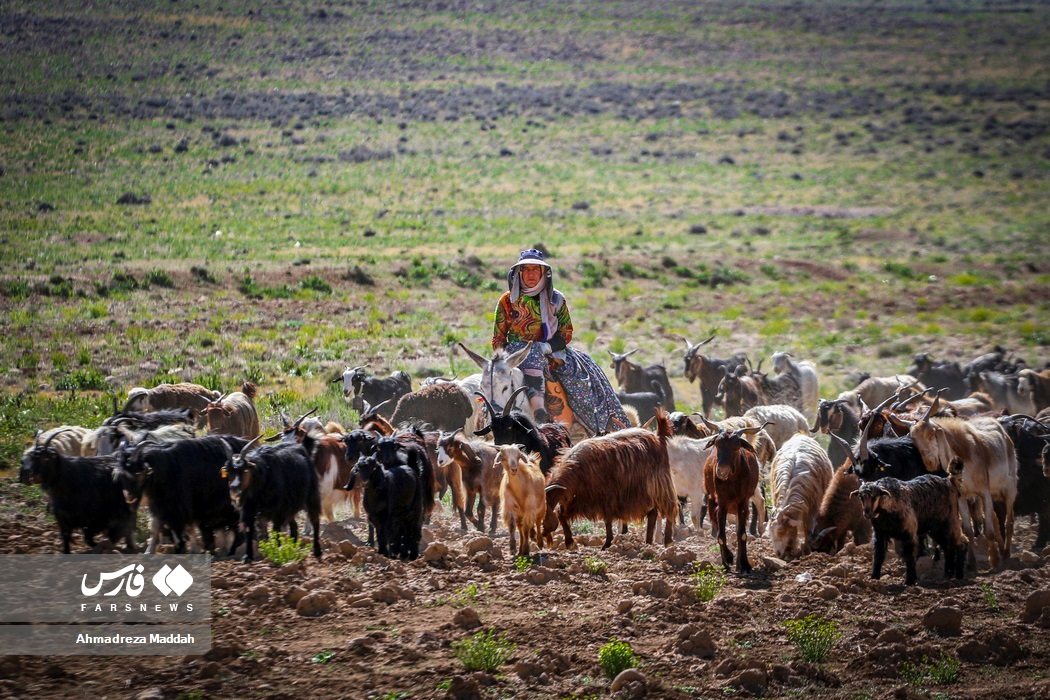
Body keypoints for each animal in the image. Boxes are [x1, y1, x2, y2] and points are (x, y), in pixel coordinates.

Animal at [115, 434, 247, 554]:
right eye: (122, 473)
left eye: (138, 472)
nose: (129, 497)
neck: (163, 468)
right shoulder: (161, 504)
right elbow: (155, 527)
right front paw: (148, 552)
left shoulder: (183, 505)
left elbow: (187, 527)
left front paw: (192, 549)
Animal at [541, 407, 680, 549]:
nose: (542, 534)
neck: (576, 468)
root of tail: (658, 436)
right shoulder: (577, 498)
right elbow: (561, 514)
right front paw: (570, 543)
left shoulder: (606, 496)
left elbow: (607, 520)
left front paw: (607, 543)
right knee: (653, 513)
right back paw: (648, 542)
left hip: (659, 484)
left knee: (670, 508)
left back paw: (667, 540)